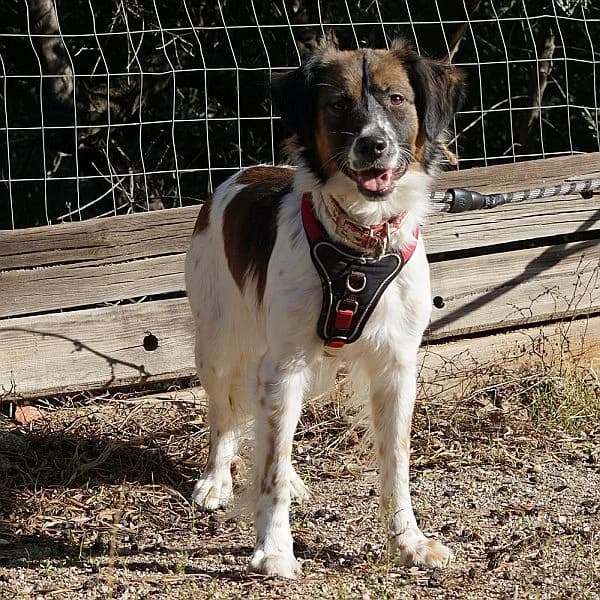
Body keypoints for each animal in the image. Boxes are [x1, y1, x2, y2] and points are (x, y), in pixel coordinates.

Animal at [185, 40, 465, 579]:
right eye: (338, 104)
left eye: (397, 99)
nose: (373, 145)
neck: (361, 244)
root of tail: (242, 173)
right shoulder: (284, 365)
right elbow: (268, 470)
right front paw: (274, 549)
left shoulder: (396, 367)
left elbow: (396, 462)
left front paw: (409, 541)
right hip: (219, 344)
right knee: (224, 416)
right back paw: (216, 479)